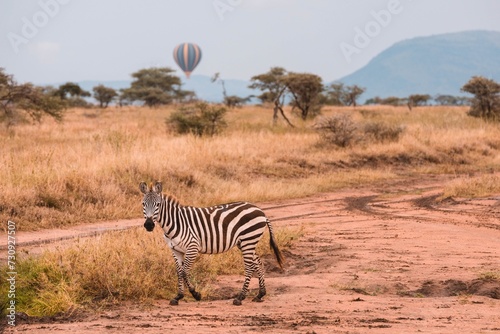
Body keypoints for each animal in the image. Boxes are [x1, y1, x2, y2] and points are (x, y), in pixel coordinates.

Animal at [140, 181, 286, 306]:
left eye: (158, 205)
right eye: (143, 204)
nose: (149, 225)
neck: (175, 222)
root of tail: (261, 211)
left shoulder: (192, 247)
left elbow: (184, 272)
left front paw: (195, 294)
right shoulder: (176, 250)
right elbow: (179, 272)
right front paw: (178, 297)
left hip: (248, 240)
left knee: (250, 267)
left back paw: (240, 298)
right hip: (245, 242)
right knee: (258, 263)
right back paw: (260, 294)